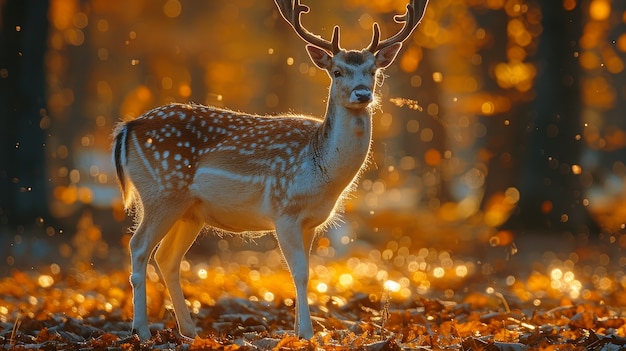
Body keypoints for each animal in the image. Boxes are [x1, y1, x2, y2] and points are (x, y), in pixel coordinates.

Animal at [112, 0, 426, 340]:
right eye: (337, 71)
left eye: (373, 71)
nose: (362, 94)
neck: (322, 171)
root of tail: (128, 127)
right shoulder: (283, 210)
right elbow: (299, 272)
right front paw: (306, 333)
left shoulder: (311, 222)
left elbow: (306, 271)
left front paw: (296, 331)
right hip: (161, 191)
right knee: (138, 247)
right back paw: (141, 330)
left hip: (190, 211)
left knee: (167, 257)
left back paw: (190, 331)